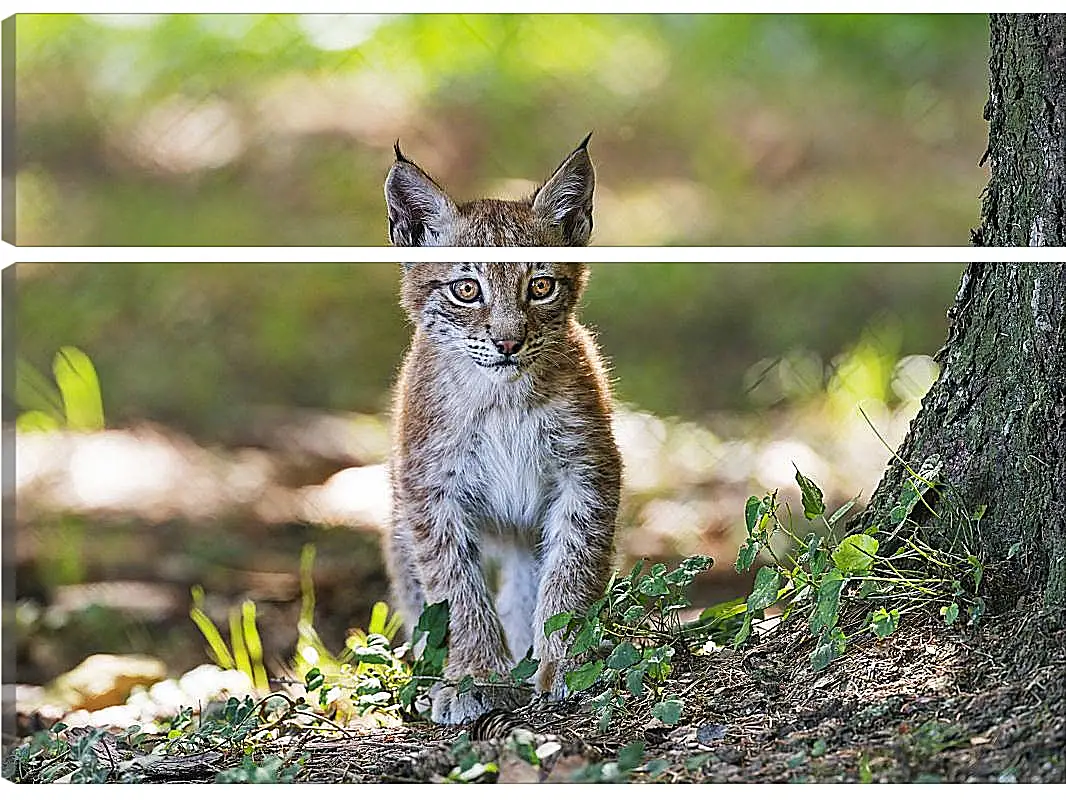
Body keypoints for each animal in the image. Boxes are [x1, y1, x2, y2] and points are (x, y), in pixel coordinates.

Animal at [381, 137, 622, 725]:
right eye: (467, 290)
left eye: (541, 286)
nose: (509, 343)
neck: (502, 399)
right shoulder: (430, 492)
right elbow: (455, 590)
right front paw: (475, 678)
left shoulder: (589, 471)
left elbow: (571, 574)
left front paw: (567, 663)